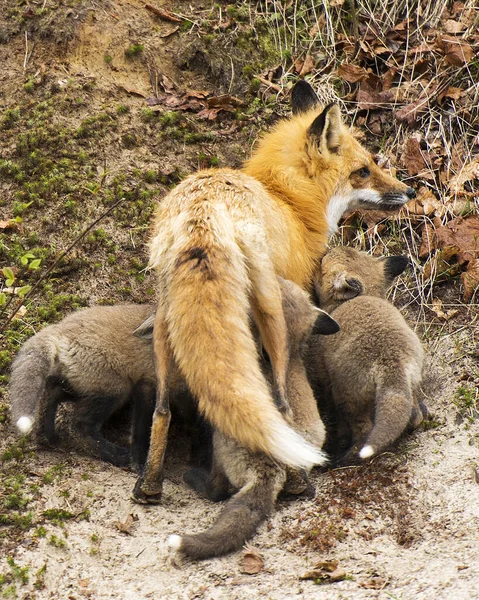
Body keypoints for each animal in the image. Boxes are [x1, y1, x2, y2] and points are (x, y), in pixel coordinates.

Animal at [133, 79, 414, 502]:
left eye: (373, 163)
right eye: (363, 171)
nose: (409, 192)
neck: (289, 201)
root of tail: (205, 209)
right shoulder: (299, 295)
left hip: (168, 320)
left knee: (161, 409)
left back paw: (149, 486)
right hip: (271, 311)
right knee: (282, 407)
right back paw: (297, 481)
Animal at [308, 246, 428, 462]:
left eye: (321, 263)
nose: (324, 250)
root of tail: (392, 361)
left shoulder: (324, 376)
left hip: (347, 398)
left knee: (363, 432)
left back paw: (342, 459)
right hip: (410, 386)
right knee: (414, 416)